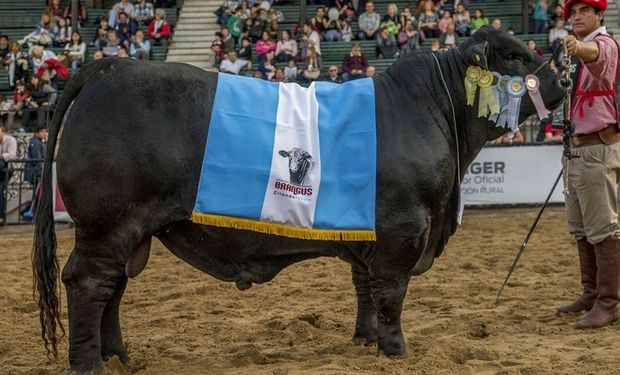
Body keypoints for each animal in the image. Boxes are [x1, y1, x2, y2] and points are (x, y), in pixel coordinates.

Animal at [32, 27, 568, 372]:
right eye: (513, 57)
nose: (561, 79)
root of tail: (112, 65)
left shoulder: (365, 232)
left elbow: (365, 289)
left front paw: (364, 341)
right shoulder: (404, 228)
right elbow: (391, 293)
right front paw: (395, 351)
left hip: (128, 231)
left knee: (113, 289)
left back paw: (119, 357)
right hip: (107, 224)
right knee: (89, 283)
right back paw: (88, 364)